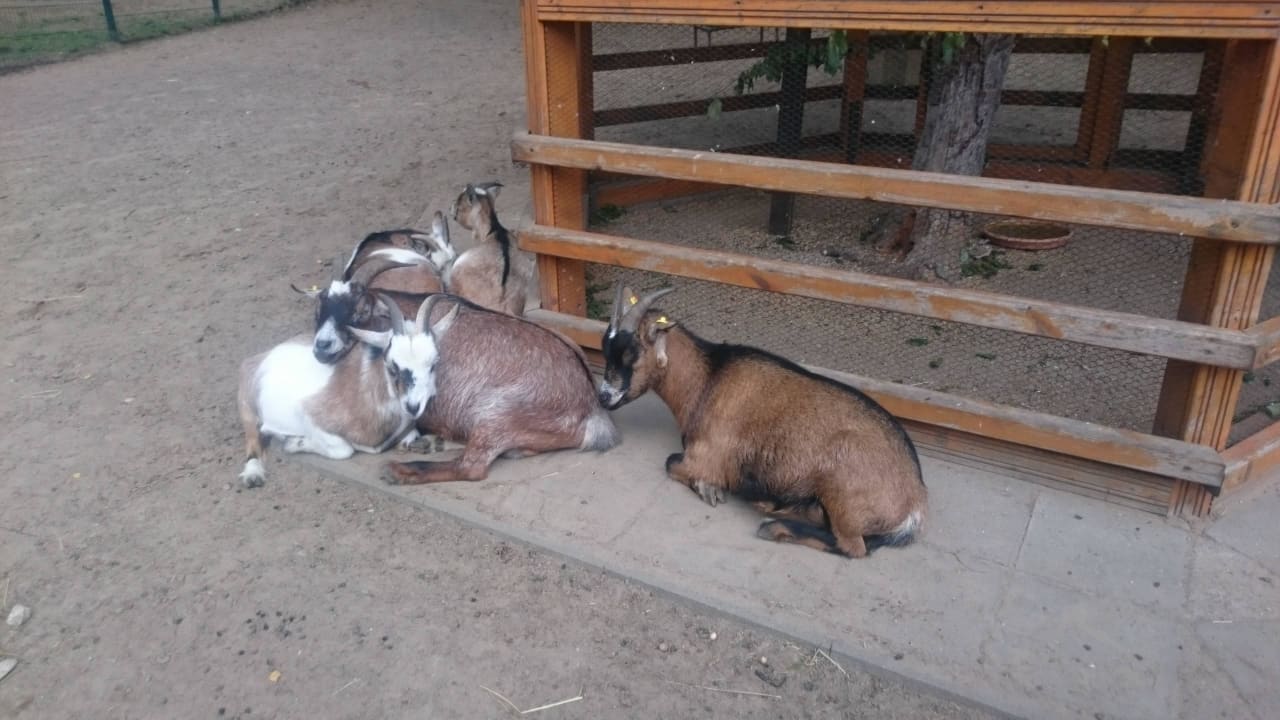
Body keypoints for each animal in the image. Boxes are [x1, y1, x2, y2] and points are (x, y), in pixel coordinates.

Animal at [237, 294, 458, 488]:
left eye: (434, 363)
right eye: (391, 364)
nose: (413, 406)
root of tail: (260, 357)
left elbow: (409, 436)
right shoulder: (309, 414)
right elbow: (343, 450)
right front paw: (293, 443)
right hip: (247, 406)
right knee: (252, 437)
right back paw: (253, 474)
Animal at [597, 285, 927, 558]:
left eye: (630, 352)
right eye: (605, 347)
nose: (603, 397)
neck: (707, 379)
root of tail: (915, 502)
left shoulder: (706, 456)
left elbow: (671, 463)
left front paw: (709, 488)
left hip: (844, 493)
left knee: (853, 547)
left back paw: (773, 525)